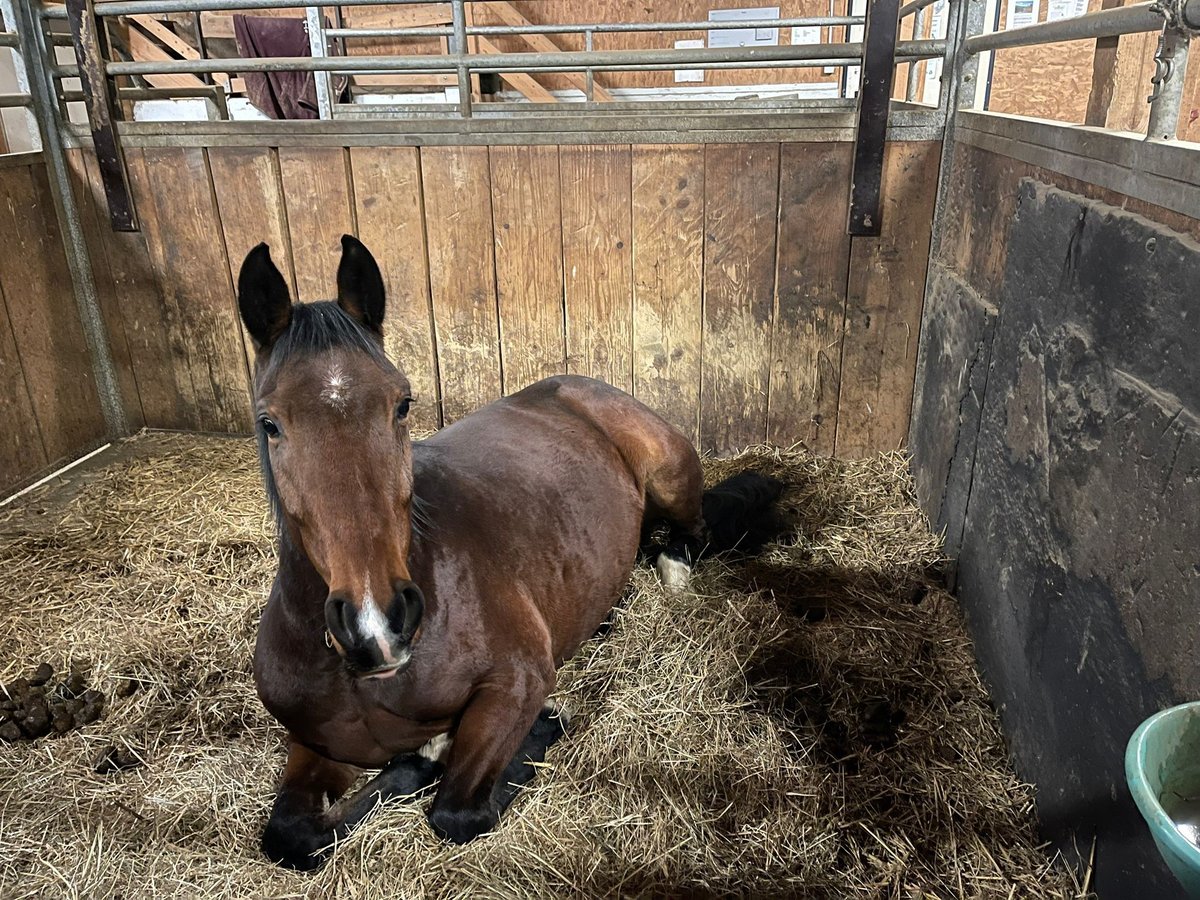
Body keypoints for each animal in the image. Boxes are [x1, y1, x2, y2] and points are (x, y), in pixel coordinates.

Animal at [237, 236, 782, 868]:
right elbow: (291, 835)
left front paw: (512, 737)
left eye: (402, 403)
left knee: (693, 536)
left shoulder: (515, 685)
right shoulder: (312, 741)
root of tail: (579, 385)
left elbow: (456, 810)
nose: (378, 624)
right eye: (268, 422)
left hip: (671, 478)